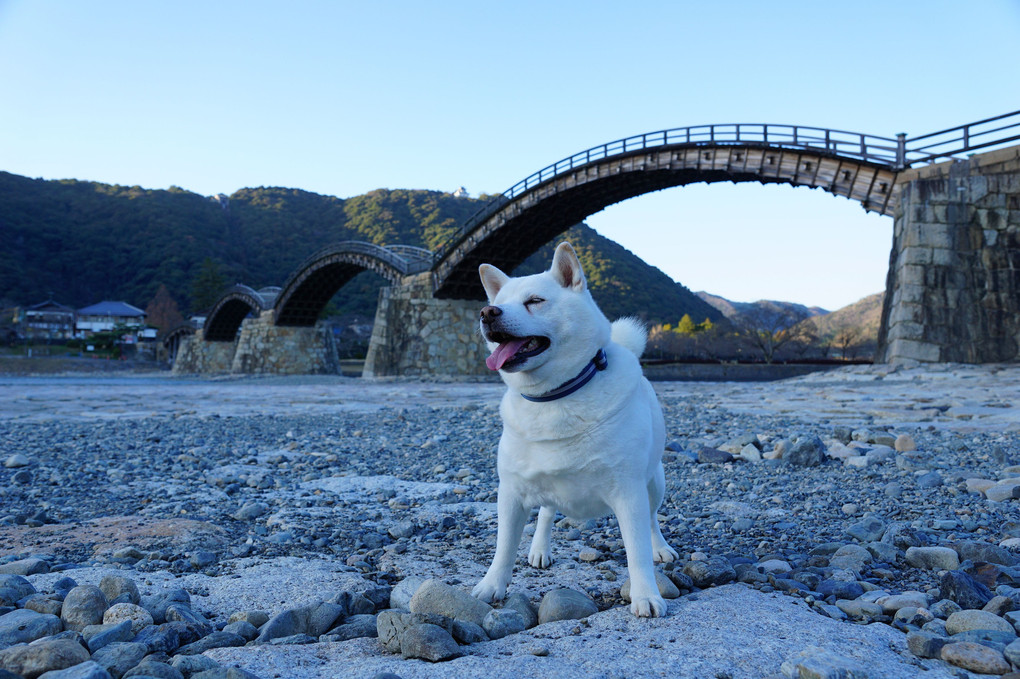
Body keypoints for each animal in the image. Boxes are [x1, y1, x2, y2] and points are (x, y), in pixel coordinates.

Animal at [471, 240, 677, 615]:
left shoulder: (629, 493)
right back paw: (540, 548)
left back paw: (660, 547)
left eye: (535, 301)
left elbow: (637, 551)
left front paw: (645, 595)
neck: (554, 396)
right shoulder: (511, 492)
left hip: (654, 482)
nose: (487, 312)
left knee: (653, 519)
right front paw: (491, 585)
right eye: (497, 302)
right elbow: (504, 548)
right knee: (546, 512)